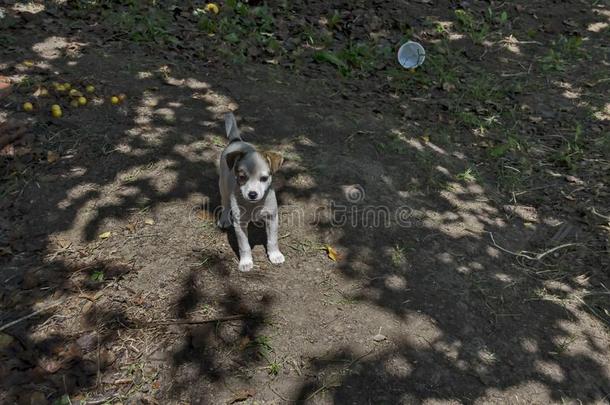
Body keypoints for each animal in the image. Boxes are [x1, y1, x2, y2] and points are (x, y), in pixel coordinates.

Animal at [218, 112, 284, 272]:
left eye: (264, 178)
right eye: (242, 177)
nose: (252, 194)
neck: (254, 205)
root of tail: (236, 141)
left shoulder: (272, 218)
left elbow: (272, 240)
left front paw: (275, 255)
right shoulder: (240, 224)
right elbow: (244, 246)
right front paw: (246, 262)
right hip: (222, 185)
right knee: (225, 203)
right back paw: (224, 218)